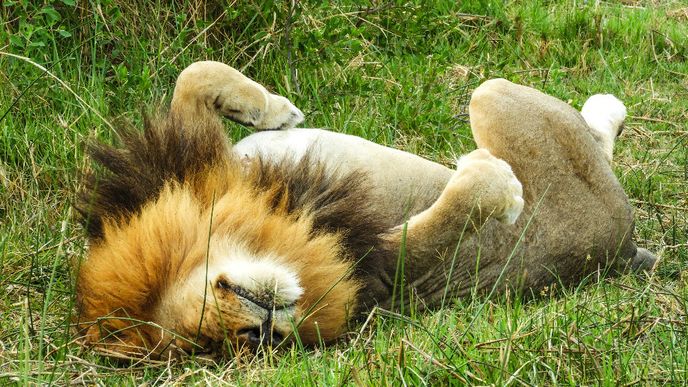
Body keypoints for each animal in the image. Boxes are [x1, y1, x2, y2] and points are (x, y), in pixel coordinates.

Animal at [74, 60, 656, 360]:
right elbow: (443, 222)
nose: (259, 329)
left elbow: (191, 79)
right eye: (212, 344)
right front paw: (495, 187)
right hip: (495, 98)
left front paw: (271, 109)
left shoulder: (201, 164)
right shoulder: (381, 265)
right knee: (591, 141)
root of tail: (625, 251)